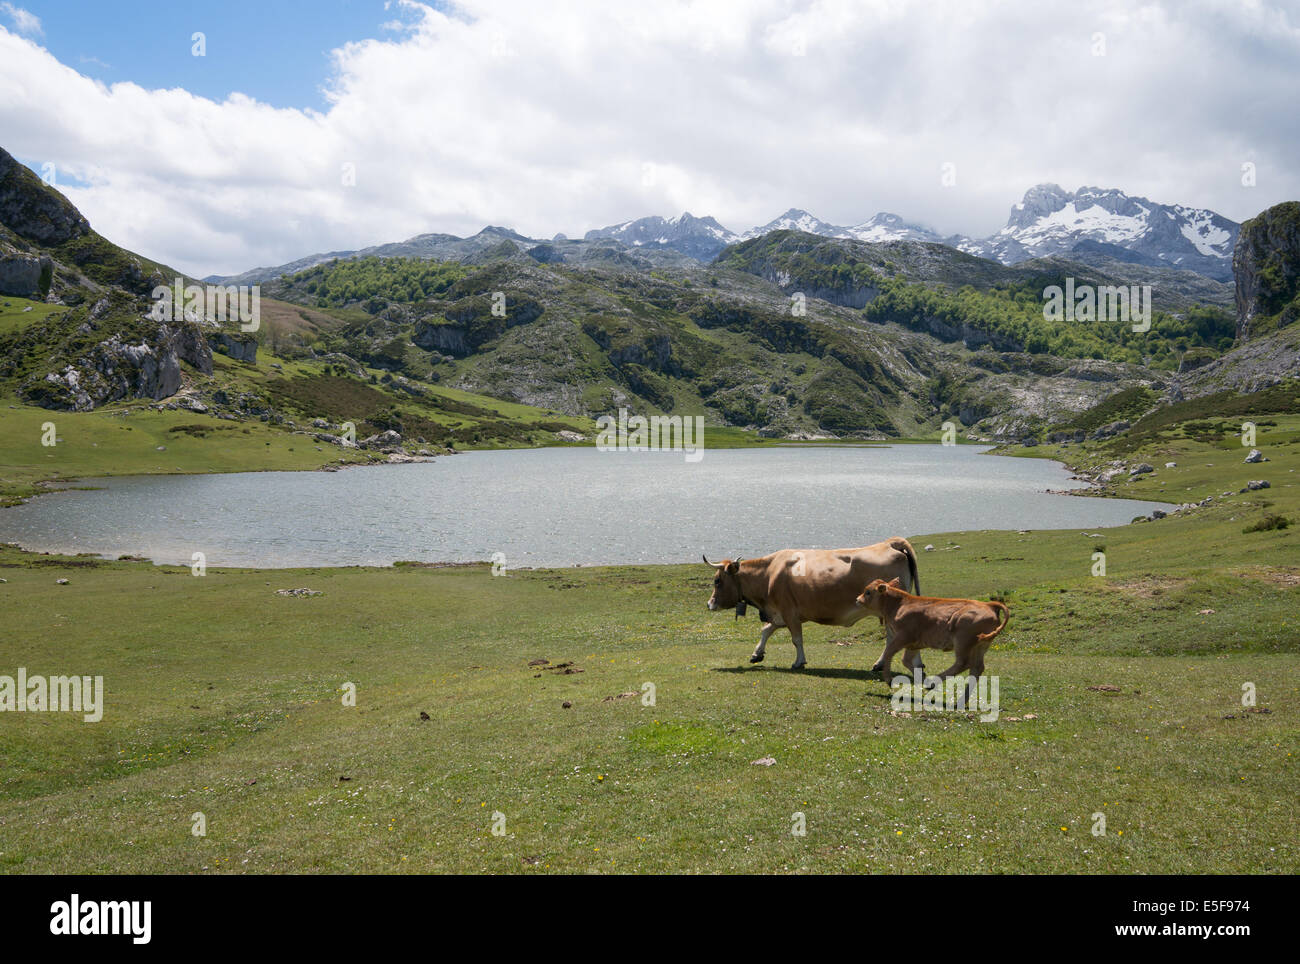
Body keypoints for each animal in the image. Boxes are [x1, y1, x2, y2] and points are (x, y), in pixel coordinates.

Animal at [707, 535, 920, 670]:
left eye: (717, 581)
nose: (709, 604)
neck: (769, 573)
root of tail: (890, 544)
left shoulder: (789, 612)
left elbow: (796, 639)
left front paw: (799, 662)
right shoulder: (779, 613)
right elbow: (766, 630)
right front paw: (757, 654)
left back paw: (882, 664)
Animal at [857, 576, 1008, 691]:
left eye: (868, 592)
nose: (857, 599)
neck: (899, 605)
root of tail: (988, 605)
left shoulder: (903, 636)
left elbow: (889, 652)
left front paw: (889, 679)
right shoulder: (913, 644)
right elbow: (906, 660)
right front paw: (922, 677)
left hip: (963, 641)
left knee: (963, 663)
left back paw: (934, 682)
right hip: (980, 645)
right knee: (977, 668)